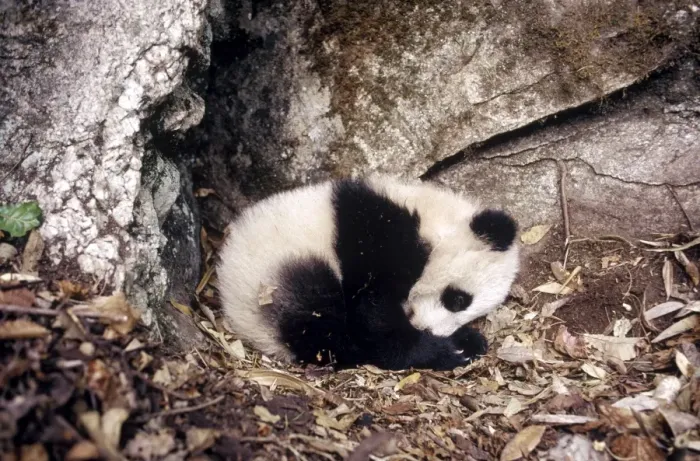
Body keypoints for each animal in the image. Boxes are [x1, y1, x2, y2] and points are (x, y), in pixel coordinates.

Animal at [216, 174, 519, 371]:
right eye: (458, 299)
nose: (429, 330)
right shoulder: (376, 239)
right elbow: (372, 313)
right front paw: (446, 349)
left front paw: (467, 340)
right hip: (275, 276)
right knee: (316, 315)